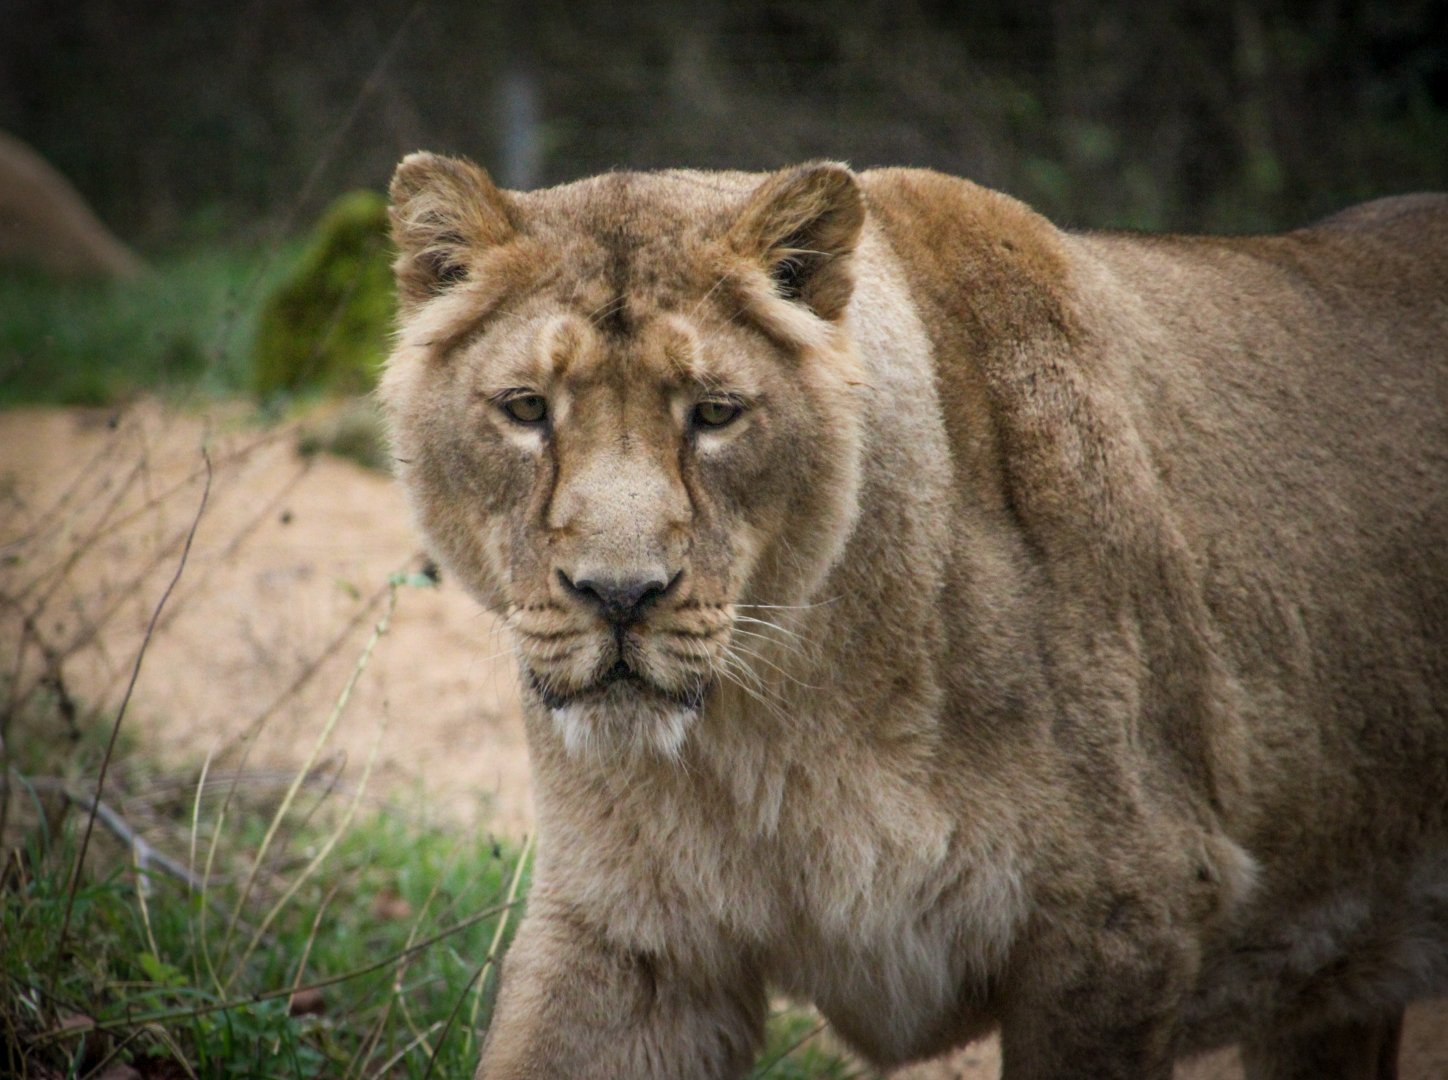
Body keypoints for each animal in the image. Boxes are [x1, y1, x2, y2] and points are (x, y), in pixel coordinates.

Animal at [379, 153, 1448, 1079]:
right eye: (526, 408)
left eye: (715, 413)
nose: (619, 594)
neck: (776, 723)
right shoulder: (631, 940)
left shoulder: (1125, 921)